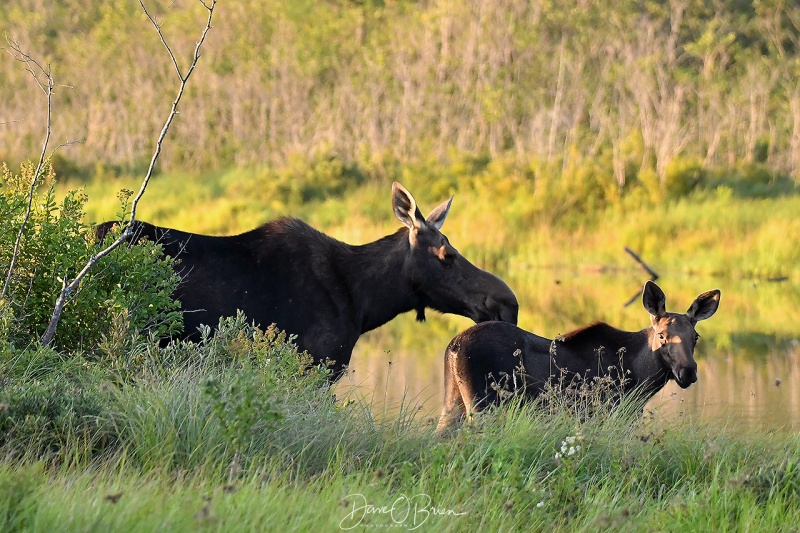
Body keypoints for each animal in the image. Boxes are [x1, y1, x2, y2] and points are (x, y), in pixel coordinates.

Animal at [434, 280, 720, 430]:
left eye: (695, 337)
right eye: (662, 335)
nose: (688, 371)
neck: (641, 378)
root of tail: (453, 346)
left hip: (453, 404)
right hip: (483, 406)